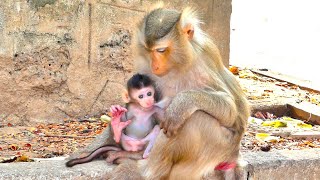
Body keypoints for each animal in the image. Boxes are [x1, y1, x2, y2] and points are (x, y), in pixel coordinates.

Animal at [110, 3, 250, 180]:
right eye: (149, 50)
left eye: (161, 50)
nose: (155, 66)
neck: (178, 65)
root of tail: (234, 156)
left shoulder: (202, 65)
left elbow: (230, 109)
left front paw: (181, 106)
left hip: (220, 147)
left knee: (195, 118)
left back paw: (145, 171)